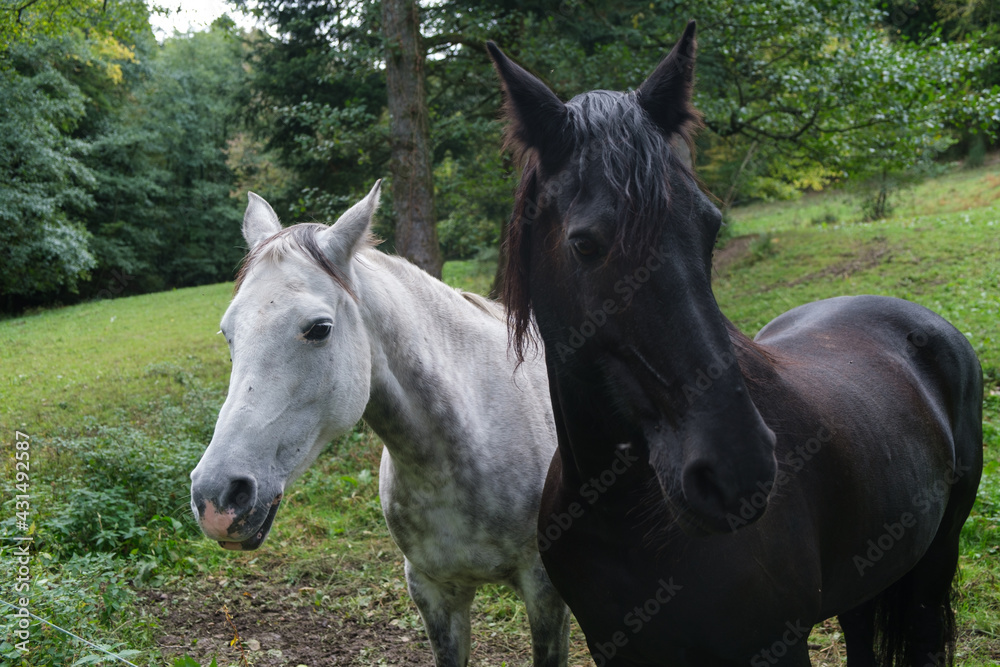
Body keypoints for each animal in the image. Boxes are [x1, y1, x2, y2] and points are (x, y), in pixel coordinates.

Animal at [487, 21, 983, 667]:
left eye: (711, 228)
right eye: (585, 244)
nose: (738, 470)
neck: (624, 516)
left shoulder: (777, 644)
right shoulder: (614, 647)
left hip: (934, 564)